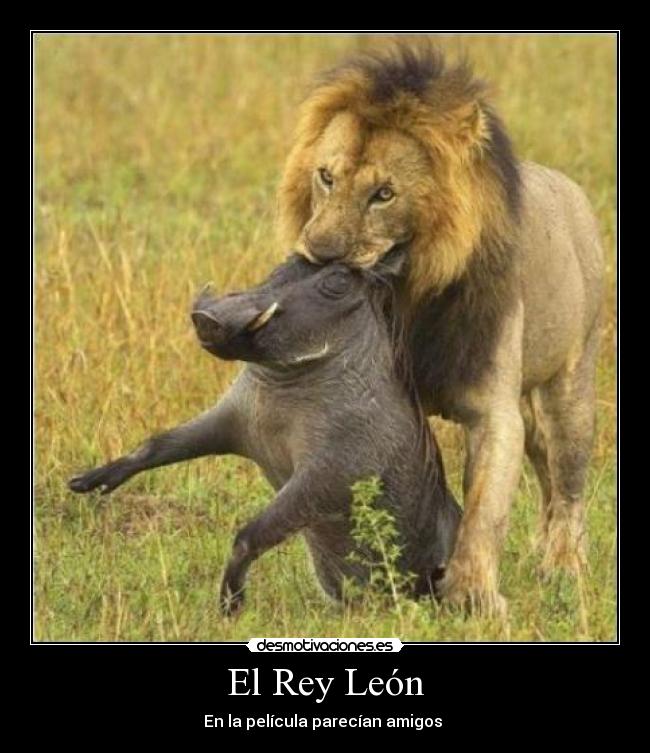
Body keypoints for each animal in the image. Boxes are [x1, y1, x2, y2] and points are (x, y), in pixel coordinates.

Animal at [277, 44, 605, 614]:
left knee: (567, 484)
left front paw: (472, 596)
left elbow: (484, 511)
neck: (405, 297)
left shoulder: (494, 411)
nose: (318, 254)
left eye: (384, 194)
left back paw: (564, 568)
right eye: (325, 177)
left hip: (571, 385)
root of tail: (573, 191)